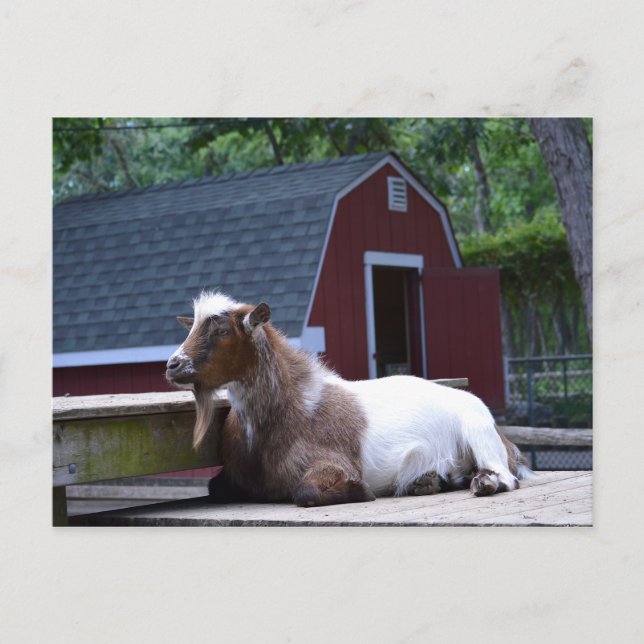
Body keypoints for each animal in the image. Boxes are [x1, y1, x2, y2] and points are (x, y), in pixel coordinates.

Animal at [166, 291, 533, 507]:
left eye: (221, 330)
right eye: (192, 327)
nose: (172, 365)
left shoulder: (331, 462)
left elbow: (304, 492)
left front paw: (362, 490)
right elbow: (214, 487)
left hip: (478, 431)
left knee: (507, 478)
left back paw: (482, 482)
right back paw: (429, 480)